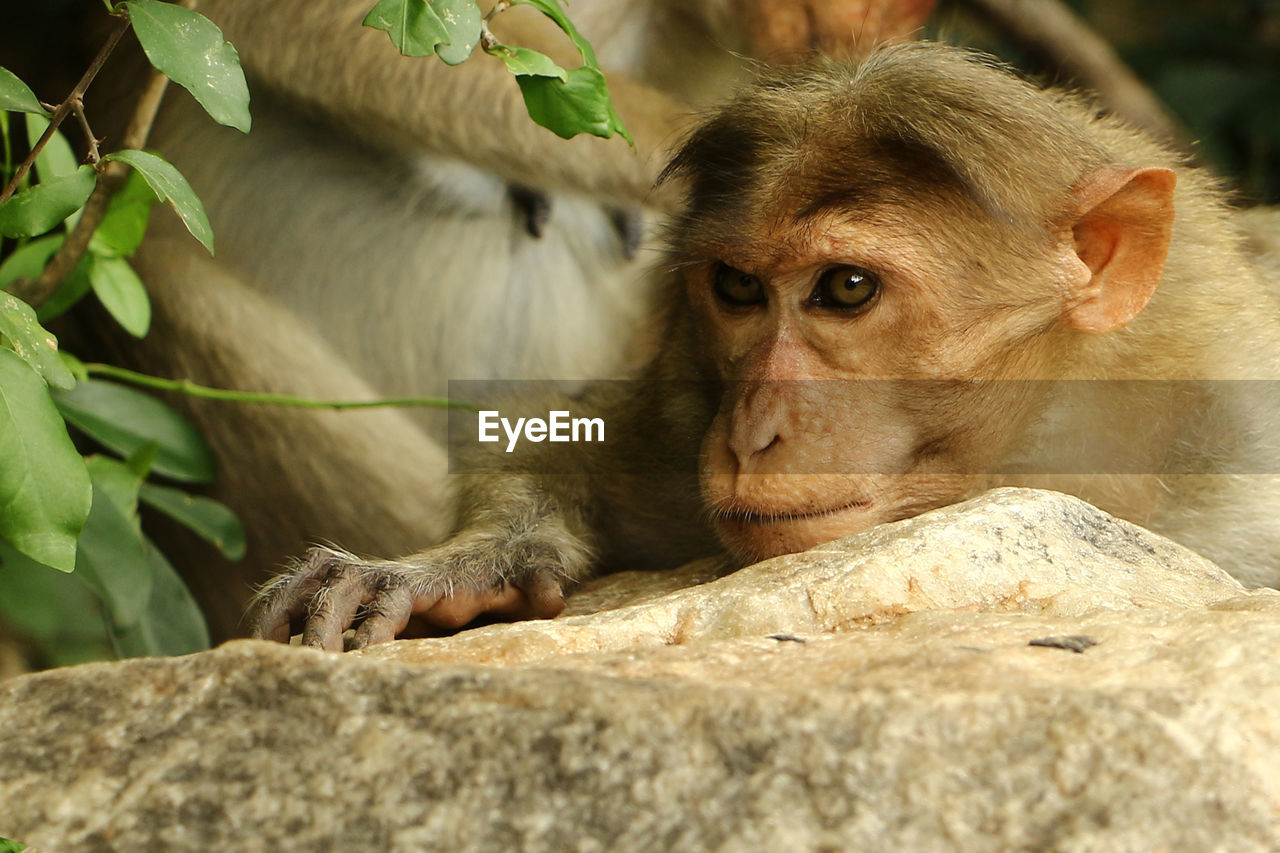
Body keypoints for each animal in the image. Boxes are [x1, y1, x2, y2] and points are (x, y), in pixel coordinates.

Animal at [247, 39, 1280, 648]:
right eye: (740, 289)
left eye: (847, 289)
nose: (752, 433)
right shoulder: (684, 405)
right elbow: (566, 436)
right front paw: (452, 567)